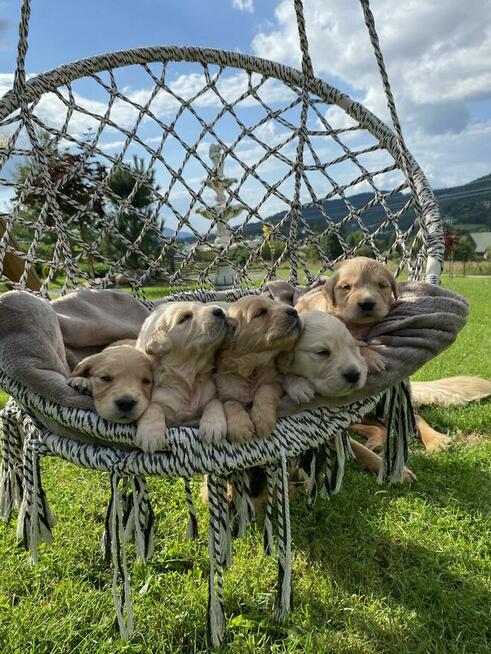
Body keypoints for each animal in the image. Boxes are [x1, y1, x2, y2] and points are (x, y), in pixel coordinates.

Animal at [135, 304, 230, 454]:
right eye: (185, 317)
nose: (219, 310)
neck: (188, 375)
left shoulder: (211, 393)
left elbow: (214, 403)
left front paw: (213, 425)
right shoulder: (160, 399)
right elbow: (153, 407)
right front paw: (150, 434)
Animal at [216, 298, 302, 446]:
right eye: (260, 312)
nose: (294, 311)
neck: (251, 368)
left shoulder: (275, 381)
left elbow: (264, 391)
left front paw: (263, 419)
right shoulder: (225, 394)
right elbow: (231, 404)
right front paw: (240, 426)